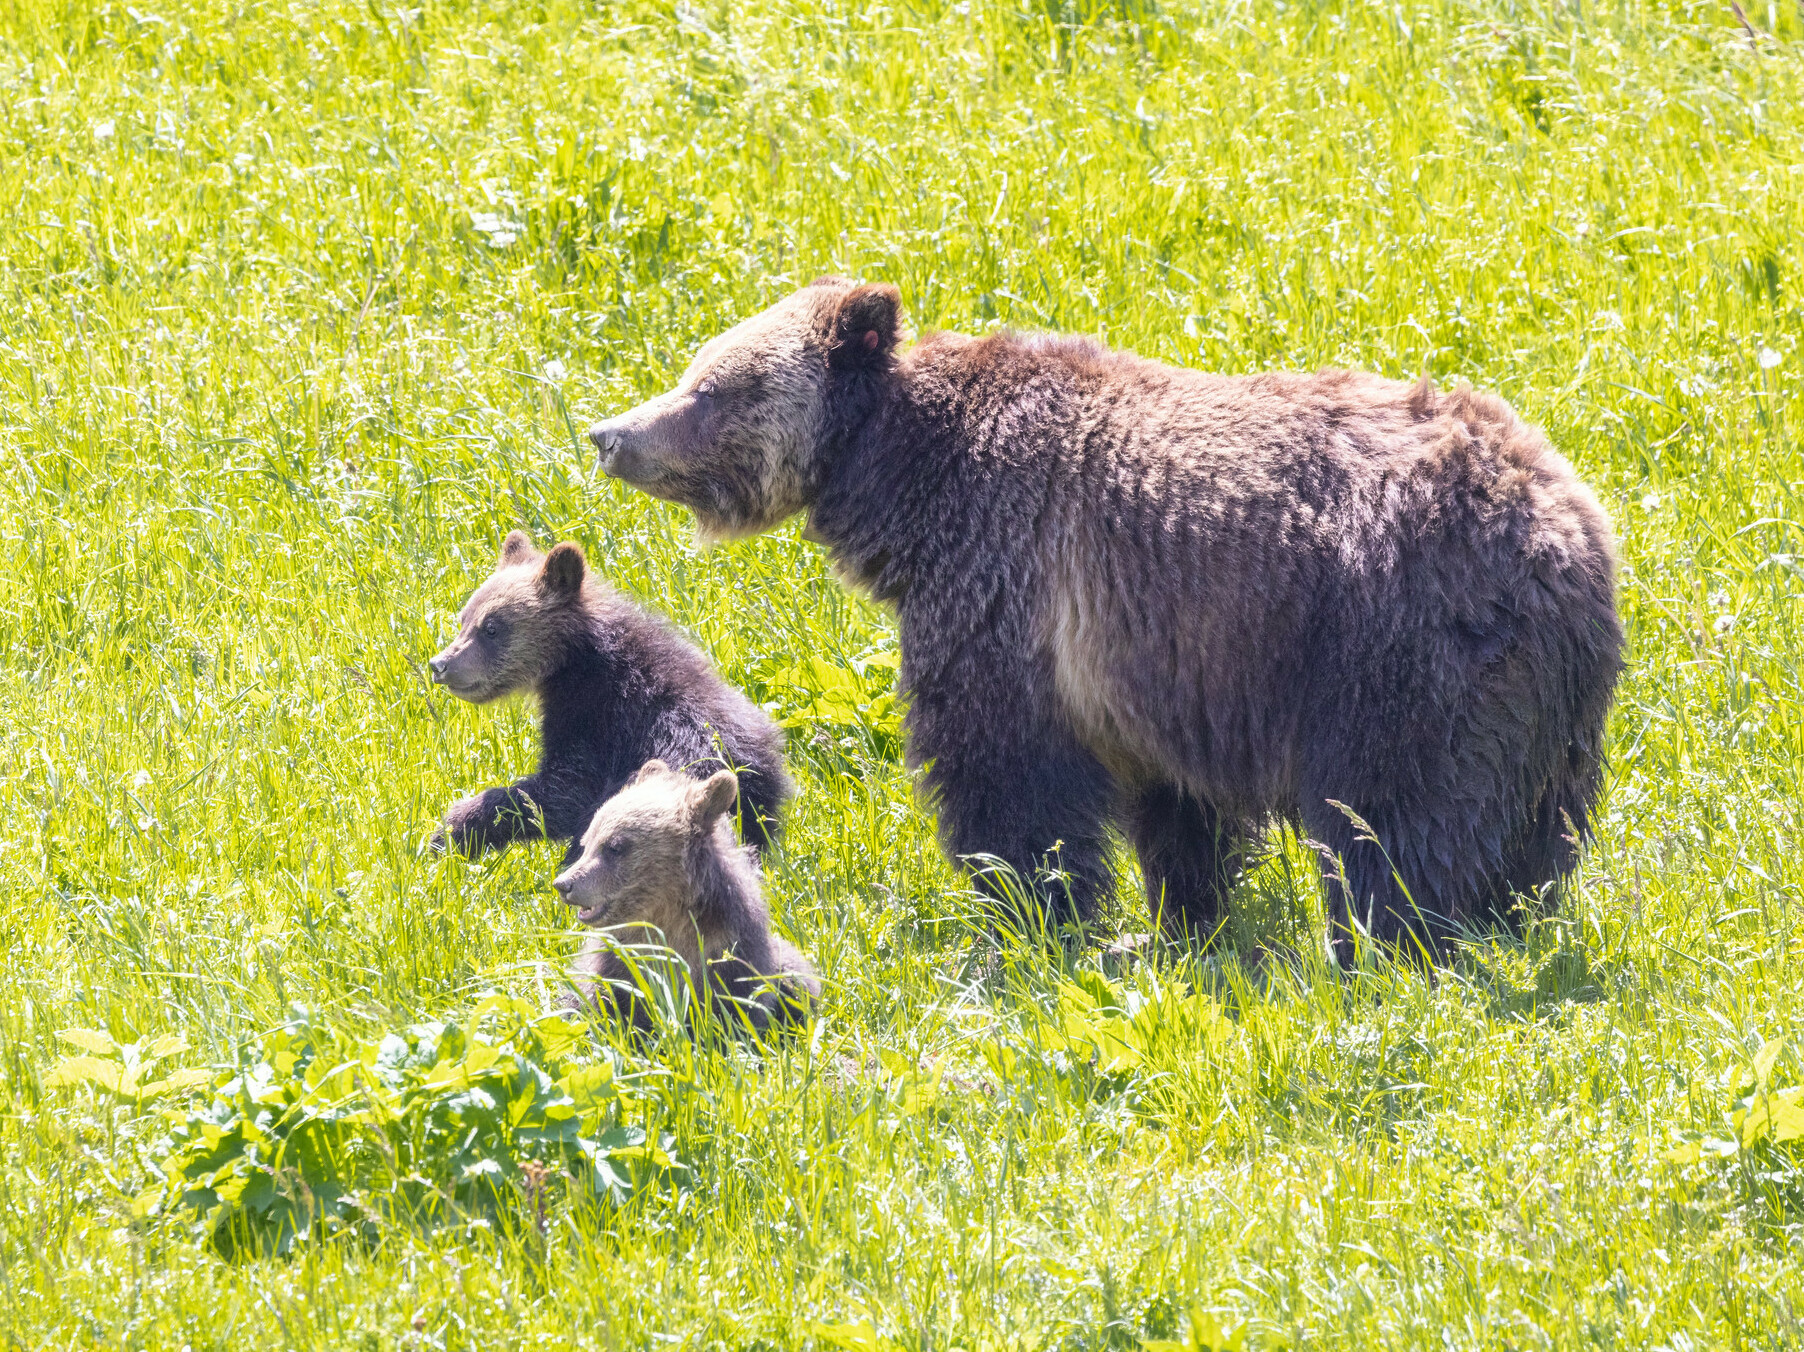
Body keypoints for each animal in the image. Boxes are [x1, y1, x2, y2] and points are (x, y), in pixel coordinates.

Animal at [588, 279, 1623, 953]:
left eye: (709, 387)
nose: (609, 434)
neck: (907, 483)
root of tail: (1567, 533)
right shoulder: (1166, 666)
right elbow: (1177, 812)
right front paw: (1185, 921)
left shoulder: (1007, 589)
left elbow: (1008, 778)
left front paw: (1029, 917)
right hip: (1545, 711)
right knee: (1527, 831)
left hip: (1394, 651)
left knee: (1394, 817)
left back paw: (1387, 941)